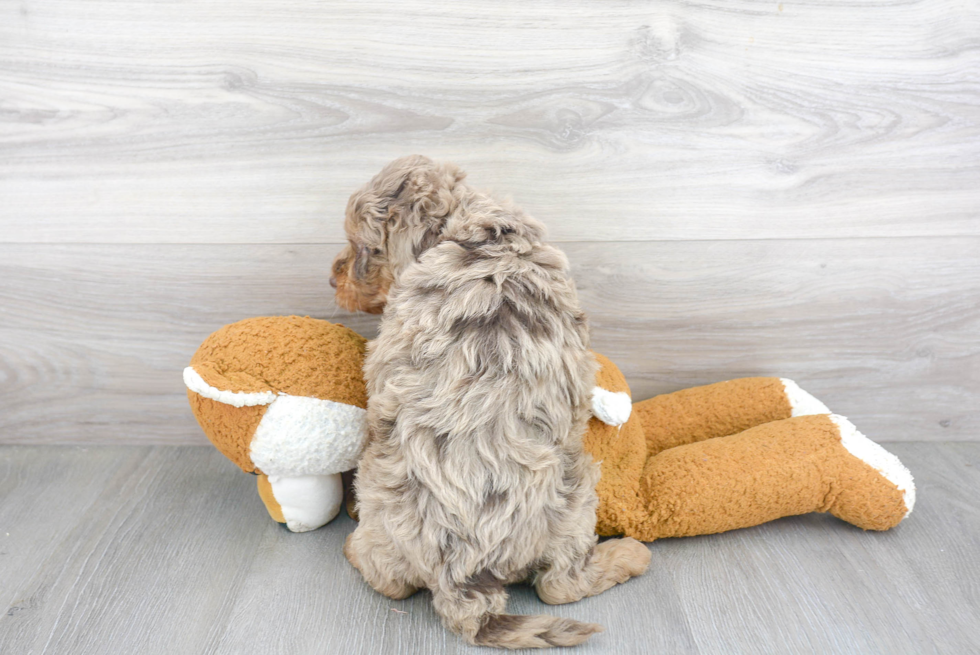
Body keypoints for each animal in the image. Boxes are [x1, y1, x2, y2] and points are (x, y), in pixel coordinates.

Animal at [332, 155, 652, 652]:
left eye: (362, 248)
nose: (334, 277)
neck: (479, 234)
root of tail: (460, 576)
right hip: (576, 493)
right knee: (560, 584)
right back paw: (629, 554)